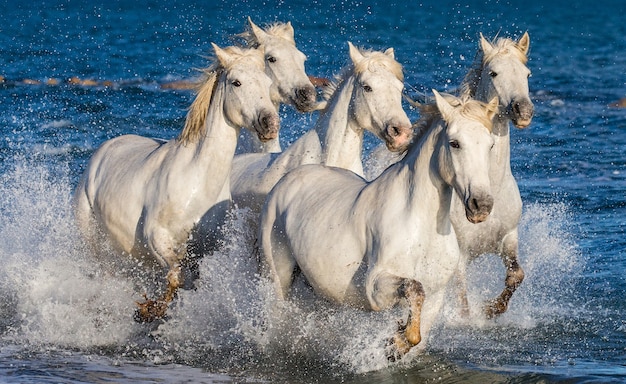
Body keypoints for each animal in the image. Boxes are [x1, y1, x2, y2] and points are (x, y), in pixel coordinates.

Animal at [73, 43, 278, 322]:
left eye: (268, 82)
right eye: (236, 82)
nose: (270, 124)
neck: (195, 182)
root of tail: (104, 149)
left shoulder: (205, 250)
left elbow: (190, 282)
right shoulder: (157, 239)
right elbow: (175, 277)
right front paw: (150, 310)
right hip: (92, 240)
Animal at [258, 91, 498, 360]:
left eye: (490, 145)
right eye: (455, 143)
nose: (481, 205)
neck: (420, 228)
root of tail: (284, 183)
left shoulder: (436, 297)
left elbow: (419, 329)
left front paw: (397, 340)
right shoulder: (376, 286)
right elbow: (414, 288)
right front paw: (397, 340)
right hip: (278, 275)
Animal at [450, 31, 532, 318]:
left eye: (527, 73)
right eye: (494, 73)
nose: (523, 110)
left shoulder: (508, 238)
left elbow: (517, 275)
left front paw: (491, 309)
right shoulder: (459, 256)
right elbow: (462, 304)